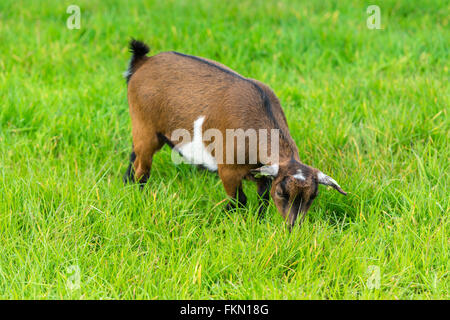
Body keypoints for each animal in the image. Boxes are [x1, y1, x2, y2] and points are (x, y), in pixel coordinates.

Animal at [121, 40, 346, 229]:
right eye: (282, 193)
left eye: (313, 196)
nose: (293, 226)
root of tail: (145, 61)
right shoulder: (228, 170)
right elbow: (240, 200)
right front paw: (227, 218)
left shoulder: (264, 174)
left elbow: (262, 198)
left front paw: (259, 220)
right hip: (145, 127)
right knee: (142, 168)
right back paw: (139, 194)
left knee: (134, 155)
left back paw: (126, 182)